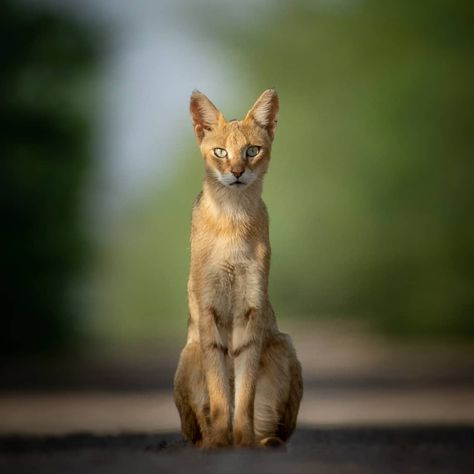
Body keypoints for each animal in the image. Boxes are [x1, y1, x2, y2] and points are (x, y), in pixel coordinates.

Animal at [175, 88, 304, 448]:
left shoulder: (251, 307)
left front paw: (242, 438)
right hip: (188, 354)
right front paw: (221, 440)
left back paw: (264, 442)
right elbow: (220, 390)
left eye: (251, 151)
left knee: (275, 427)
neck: (232, 220)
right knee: (196, 428)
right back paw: (210, 441)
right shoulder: (210, 311)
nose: (235, 172)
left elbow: (244, 393)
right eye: (220, 152)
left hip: (284, 345)